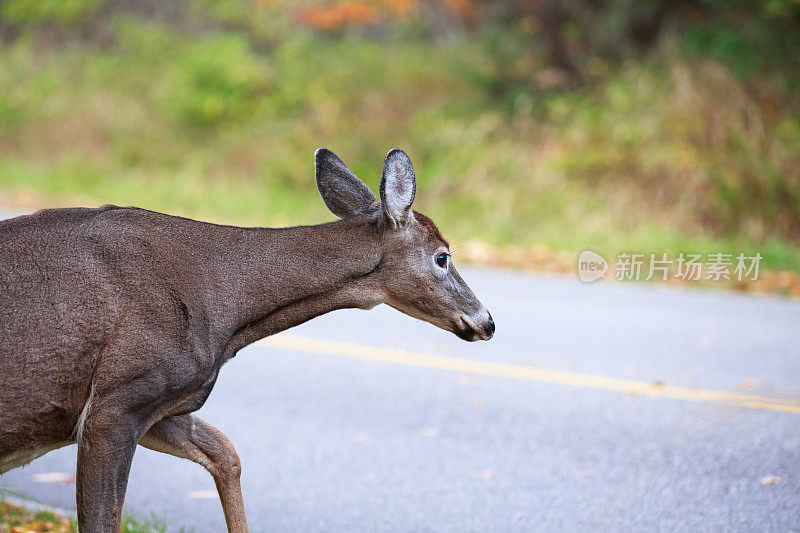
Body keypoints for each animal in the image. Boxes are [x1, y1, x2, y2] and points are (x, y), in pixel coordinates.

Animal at [0, 148, 494, 528]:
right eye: (442, 256)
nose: (487, 321)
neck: (225, 306)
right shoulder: (117, 401)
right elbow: (104, 519)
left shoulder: (161, 406)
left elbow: (227, 453)